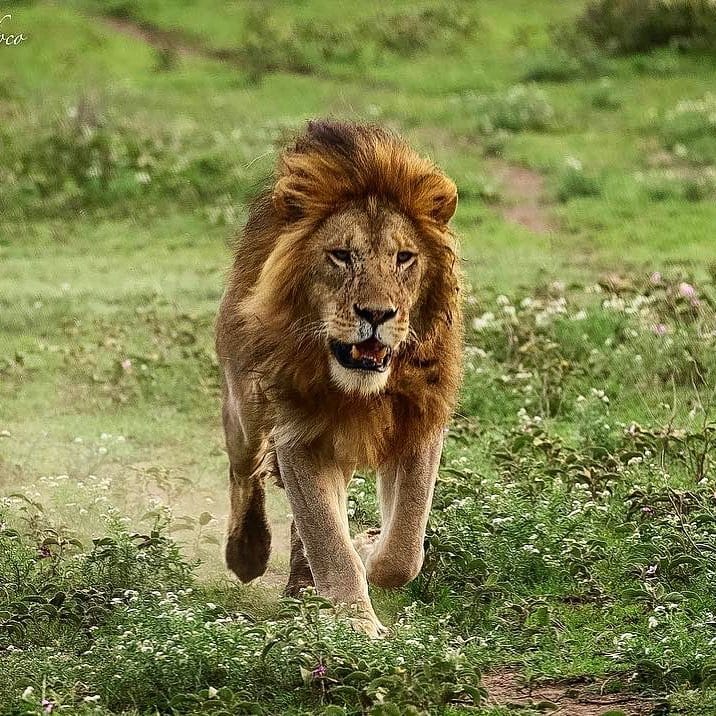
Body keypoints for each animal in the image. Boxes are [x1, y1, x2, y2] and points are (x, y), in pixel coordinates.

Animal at [215, 120, 462, 636]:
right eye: (342, 256)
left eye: (404, 258)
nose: (377, 314)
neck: (360, 389)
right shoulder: (298, 433)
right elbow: (328, 539)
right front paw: (357, 626)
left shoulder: (421, 423)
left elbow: (404, 545)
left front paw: (369, 547)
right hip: (245, 406)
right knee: (242, 468)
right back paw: (248, 552)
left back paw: (301, 587)